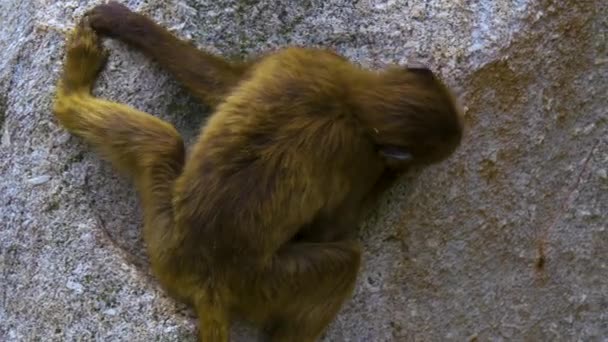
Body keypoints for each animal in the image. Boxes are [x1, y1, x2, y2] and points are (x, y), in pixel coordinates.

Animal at [52, 1, 464, 340]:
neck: (354, 104)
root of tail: (209, 281)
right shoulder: (352, 140)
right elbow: (333, 227)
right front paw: (394, 173)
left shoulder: (298, 62)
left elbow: (218, 83)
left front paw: (121, 21)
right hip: (263, 284)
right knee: (344, 262)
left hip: (164, 245)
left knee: (161, 142)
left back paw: (70, 98)